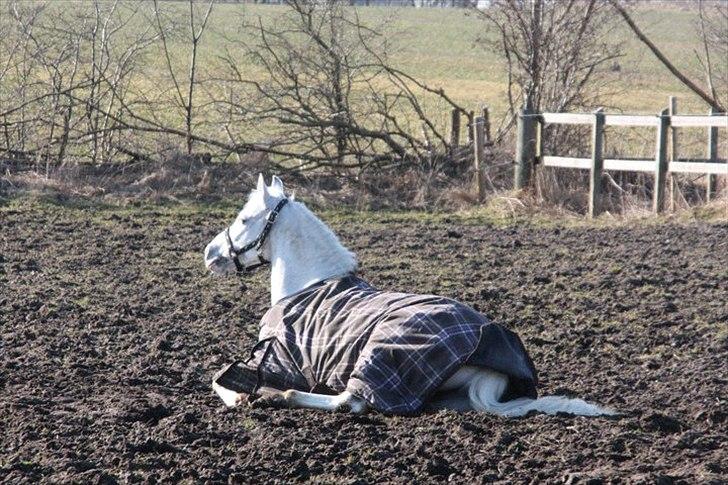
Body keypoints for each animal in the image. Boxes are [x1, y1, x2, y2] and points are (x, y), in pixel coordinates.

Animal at [203, 174, 616, 416]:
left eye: (244, 219)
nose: (209, 253)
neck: (310, 282)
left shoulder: (274, 360)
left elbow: (218, 378)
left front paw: (244, 396)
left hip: (378, 357)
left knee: (351, 402)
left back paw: (280, 396)